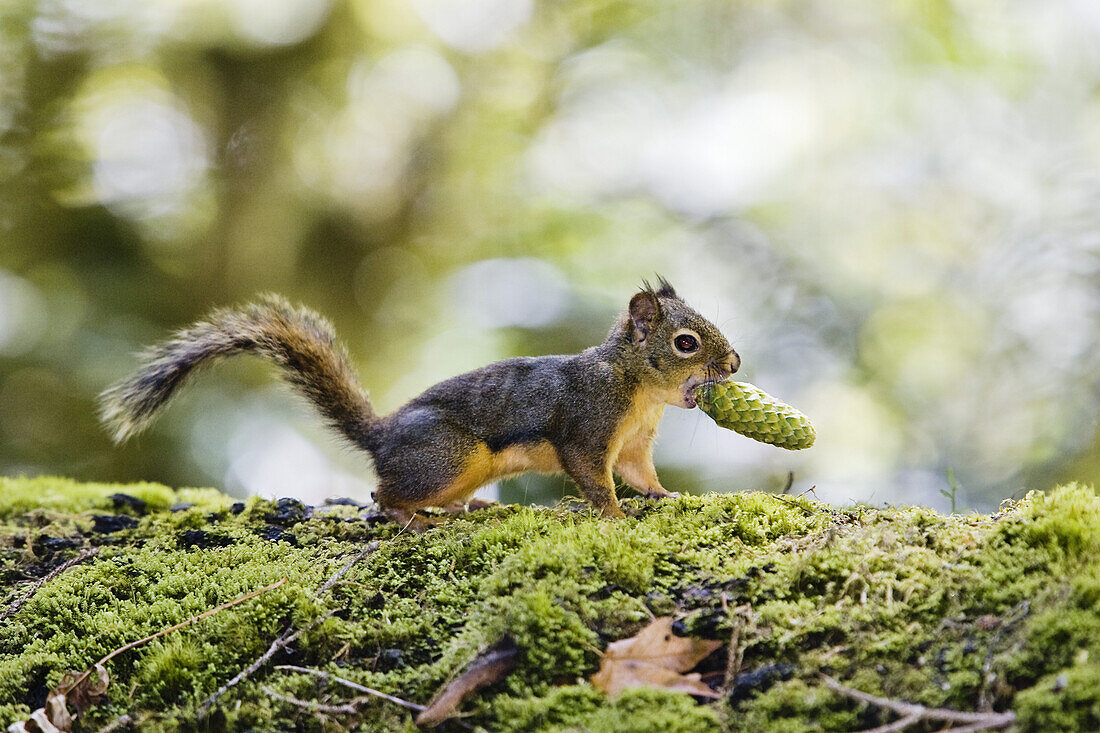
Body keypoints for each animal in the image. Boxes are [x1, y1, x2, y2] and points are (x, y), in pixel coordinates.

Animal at [101, 277, 739, 517]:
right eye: (685, 343)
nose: (733, 364)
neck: (637, 388)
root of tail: (381, 437)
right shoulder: (589, 423)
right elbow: (593, 474)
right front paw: (611, 516)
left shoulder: (632, 443)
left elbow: (638, 474)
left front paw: (665, 495)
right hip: (448, 456)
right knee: (382, 494)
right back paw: (411, 516)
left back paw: (462, 507)